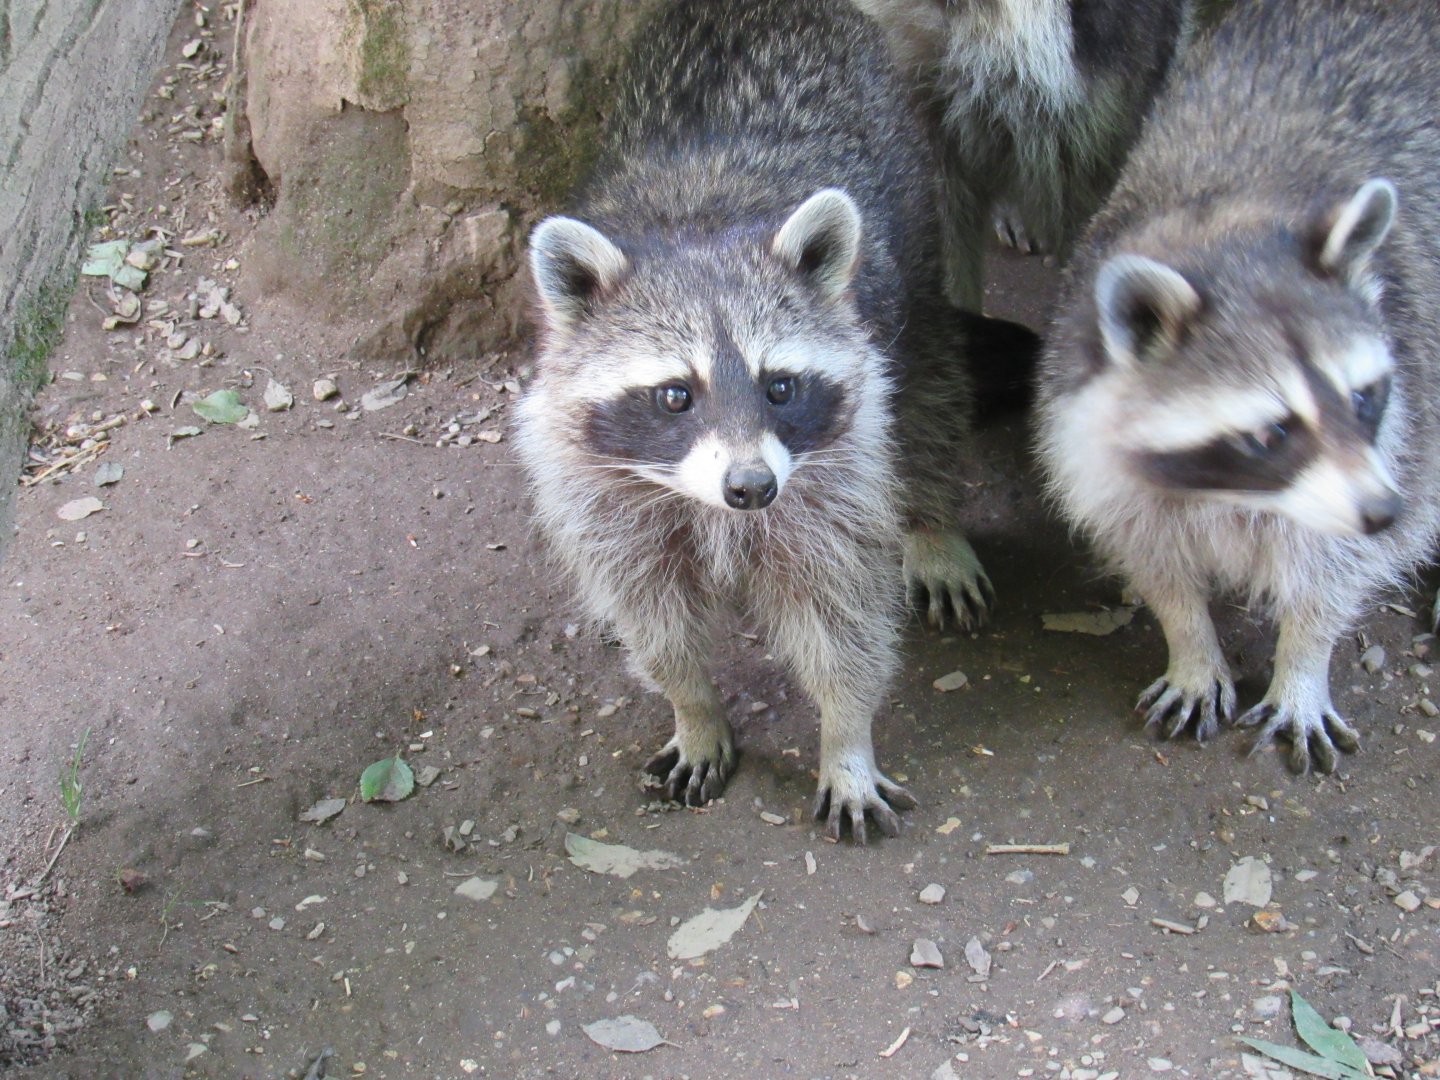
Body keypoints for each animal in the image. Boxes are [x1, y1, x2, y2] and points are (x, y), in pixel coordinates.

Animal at [513, 0, 994, 841]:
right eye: (676, 395)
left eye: (780, 387)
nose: (751, 488)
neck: (697, 226)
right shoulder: (597, 485)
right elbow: (652, 611)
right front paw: (692, 705)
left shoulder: (834, 469)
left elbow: (841, 608)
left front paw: (846, 735)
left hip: (910, 214)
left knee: (931, 378)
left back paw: (932, 520)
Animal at [1036, 0, 1440, 773]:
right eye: (1272, 431)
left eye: (1364, 397)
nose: (1382, 511)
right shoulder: (1084, 423)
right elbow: (1149, 548)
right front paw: (1189, 638)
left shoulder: (1413, 413)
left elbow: (1337, 568)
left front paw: (1304, 658)